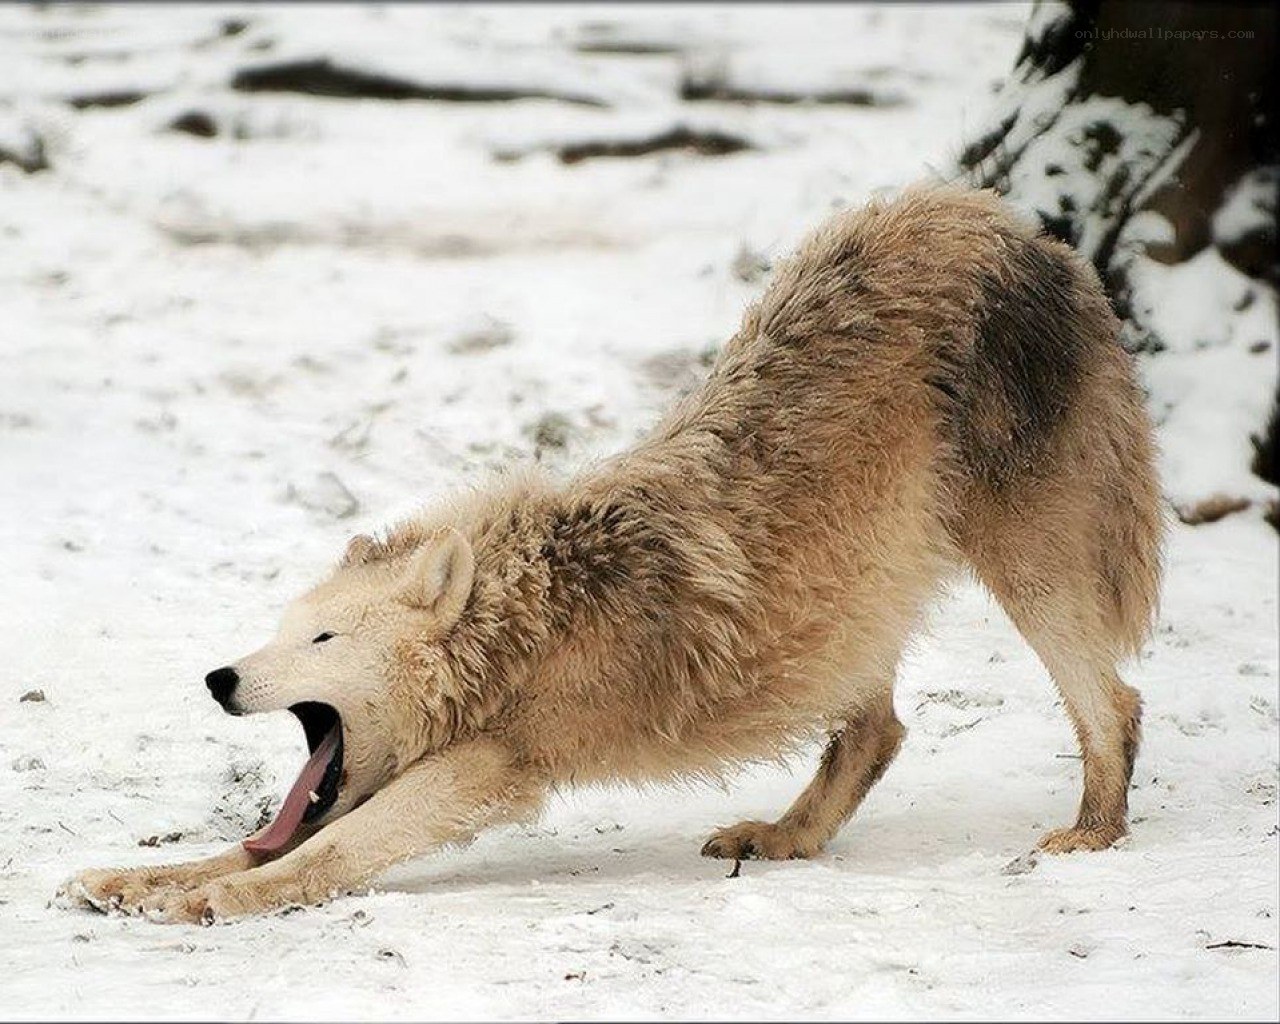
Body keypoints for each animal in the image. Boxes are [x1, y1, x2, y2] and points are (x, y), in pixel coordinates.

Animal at [61, 185, 1163, 923]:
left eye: (323, 640)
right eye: (277, 631)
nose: (219, 677)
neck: (520, 618)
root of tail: (1009, 223)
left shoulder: (496, 764)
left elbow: (321, 851)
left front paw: (213, 903)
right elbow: (254, 843)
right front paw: (134, 879)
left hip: (1025, 566)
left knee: (1113, 700)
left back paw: (1090, 833)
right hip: (854, 601)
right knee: (880, 732)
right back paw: (781, 837)